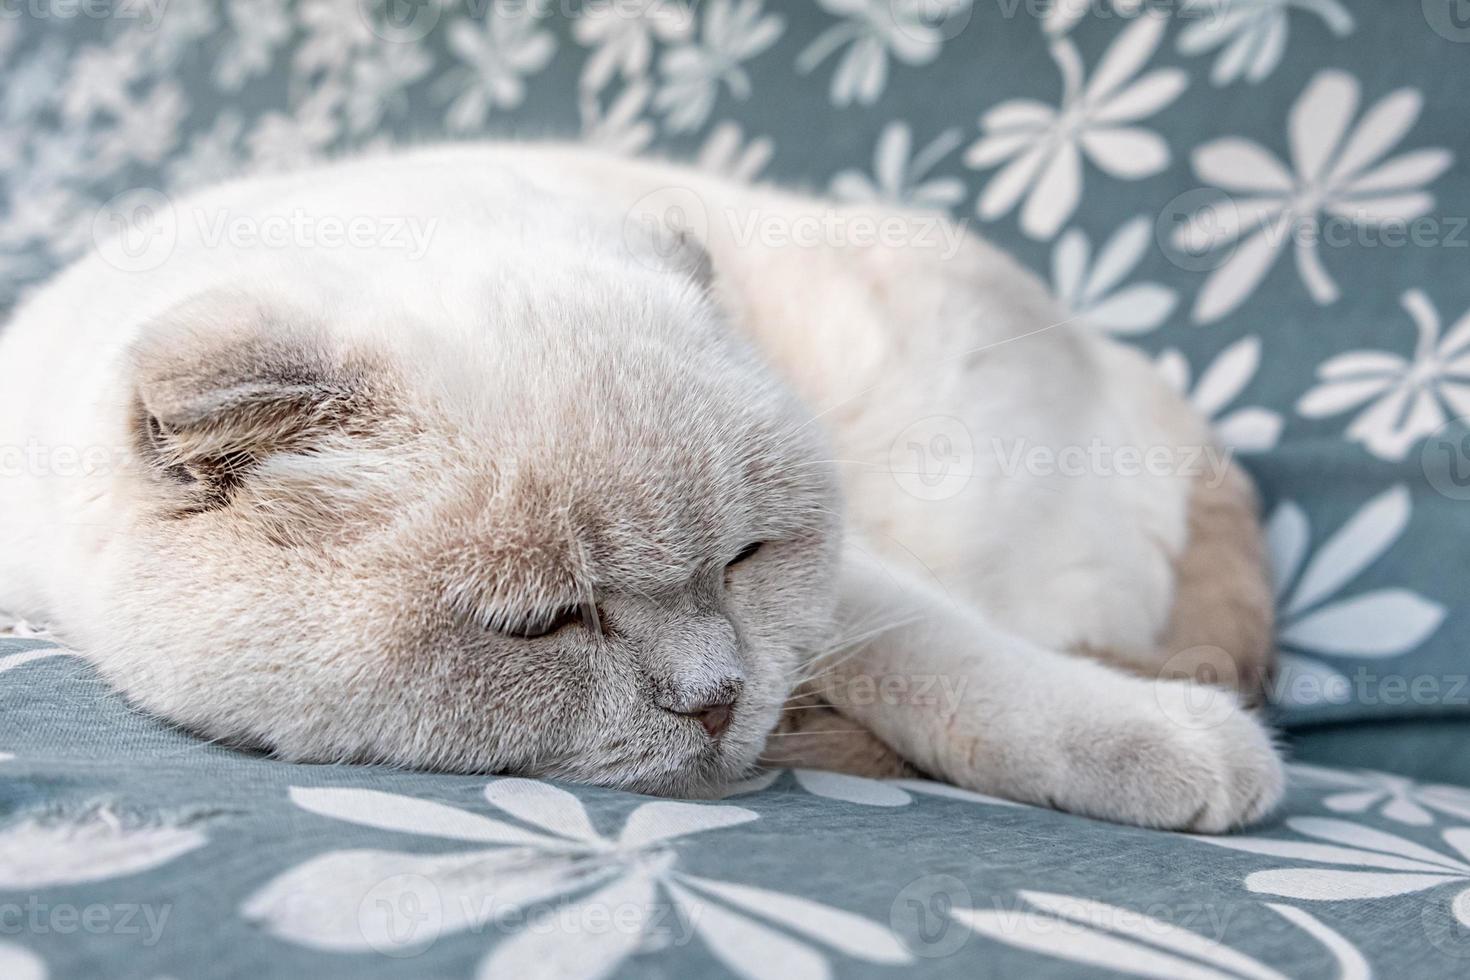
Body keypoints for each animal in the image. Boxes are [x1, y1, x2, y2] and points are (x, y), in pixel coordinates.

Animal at [0, 141, 1281, 834]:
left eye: (745, 559)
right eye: (546, 620)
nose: (718, 698)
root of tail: (1148, 382)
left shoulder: (859, 596)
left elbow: (953, 660)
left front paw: (1196, 755)